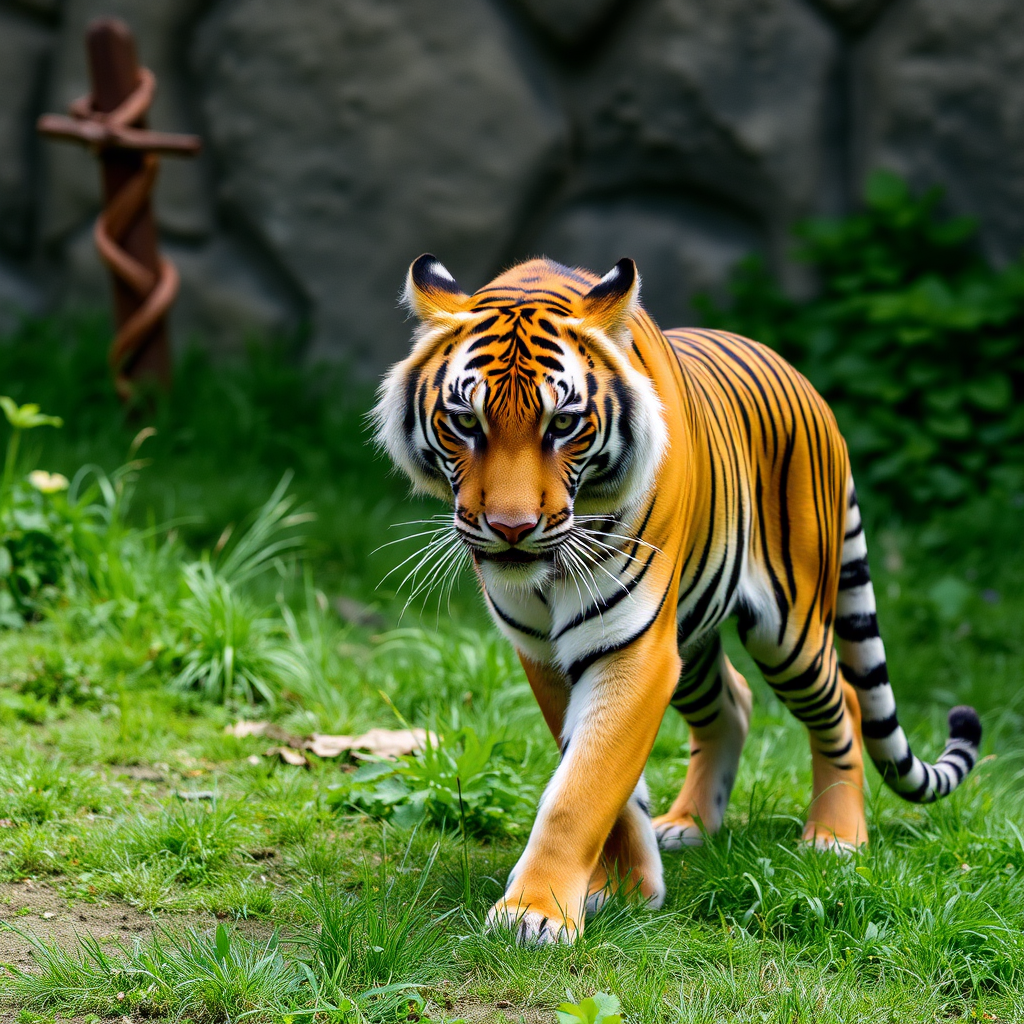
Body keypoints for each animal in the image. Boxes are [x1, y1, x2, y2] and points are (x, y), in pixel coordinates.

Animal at [374, 251, 983, 937]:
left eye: (563, 424)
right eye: (464, 422)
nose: (511, 529)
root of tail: (810, 389)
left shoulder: (631, 645)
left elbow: (581, 788)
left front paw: (537, 912)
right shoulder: (549, 654)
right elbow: (603, 781)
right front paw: (627, 888)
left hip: (789, 629)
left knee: (846, 702)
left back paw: (836, 837)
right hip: (692, 640)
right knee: (734, 703)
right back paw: (688, 825)